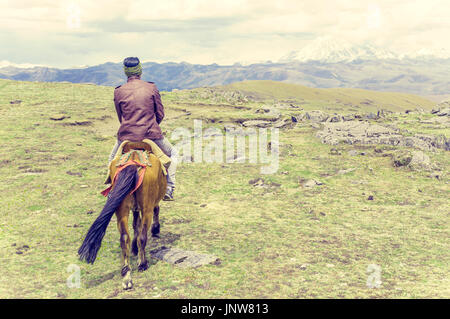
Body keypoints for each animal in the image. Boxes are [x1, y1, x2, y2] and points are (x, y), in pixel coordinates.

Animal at [78, 144, 168, 290]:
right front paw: (155, 229)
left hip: (122, 210)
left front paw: (134, 247)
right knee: (143, 236)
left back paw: (126, 277)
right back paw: (142, 264)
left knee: (124, 237)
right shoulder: (147, 206)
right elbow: (150, 215)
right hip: (146, 208)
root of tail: (133, 161)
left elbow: (135, 224)